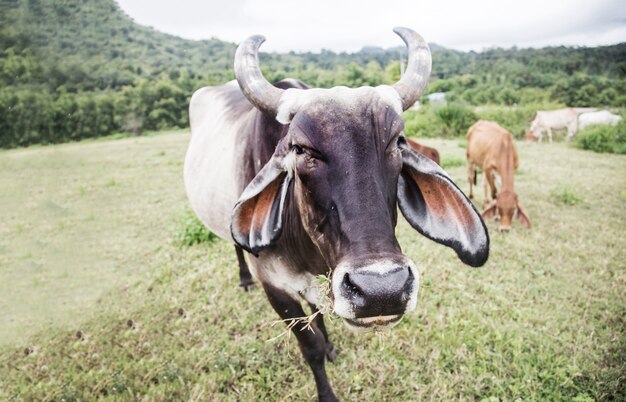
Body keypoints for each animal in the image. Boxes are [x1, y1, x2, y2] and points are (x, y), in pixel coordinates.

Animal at [183, 26, 490, 400]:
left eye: (396, 141)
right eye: (301, 149)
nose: (382, 290)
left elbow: (317, 313)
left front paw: (330, 344)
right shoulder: (275, 286)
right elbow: (309, 347)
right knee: (236, 246)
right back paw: (243, 279)